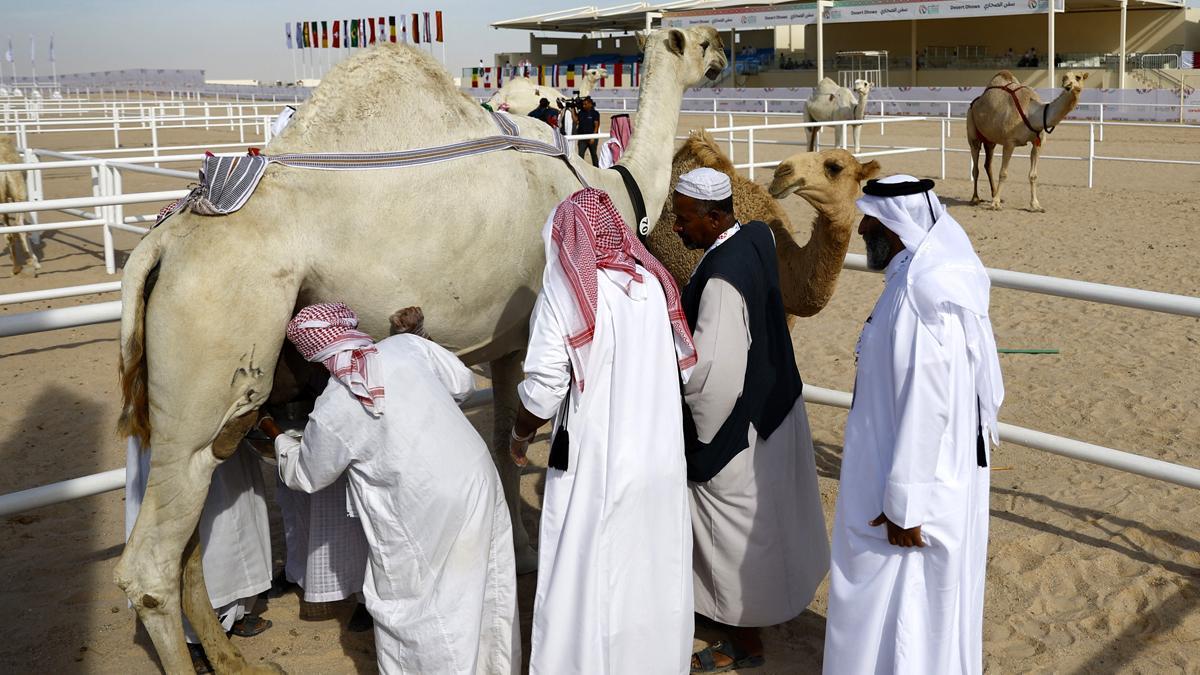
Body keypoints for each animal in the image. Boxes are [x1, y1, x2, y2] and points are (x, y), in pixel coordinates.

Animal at [117, 27, 724, 672]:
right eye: (700, 41)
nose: (721, 55)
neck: (604, 188)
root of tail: (162, 242)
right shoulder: (531, 327)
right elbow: (513, 441)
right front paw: (527, 552)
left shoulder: (504, 341)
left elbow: (503, 435)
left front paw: (520, 545)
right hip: (216, 336)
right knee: (151, 563)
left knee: (188, 533)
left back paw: (237, 660)